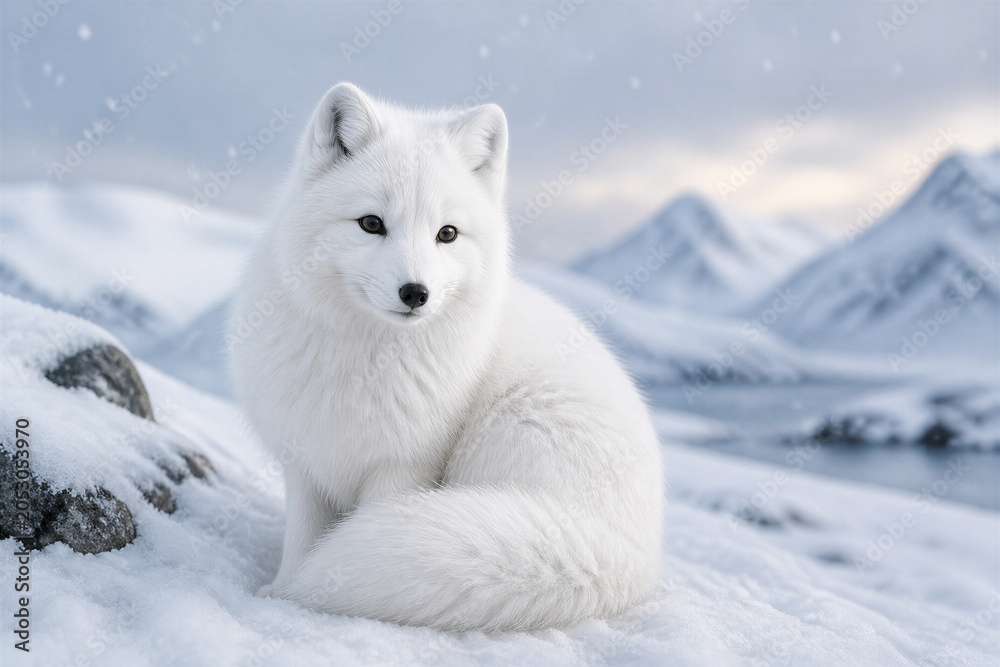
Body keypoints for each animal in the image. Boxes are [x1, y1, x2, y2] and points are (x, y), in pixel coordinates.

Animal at [229, 82, 664, 632]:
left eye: (448, 233)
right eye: (371, 223)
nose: (416, 293)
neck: (363, 360)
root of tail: (632, 560)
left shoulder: (404, 468)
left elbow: (362, 534)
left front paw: (314, 590)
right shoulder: (306, 463)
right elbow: (302, 541)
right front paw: (281, 590)